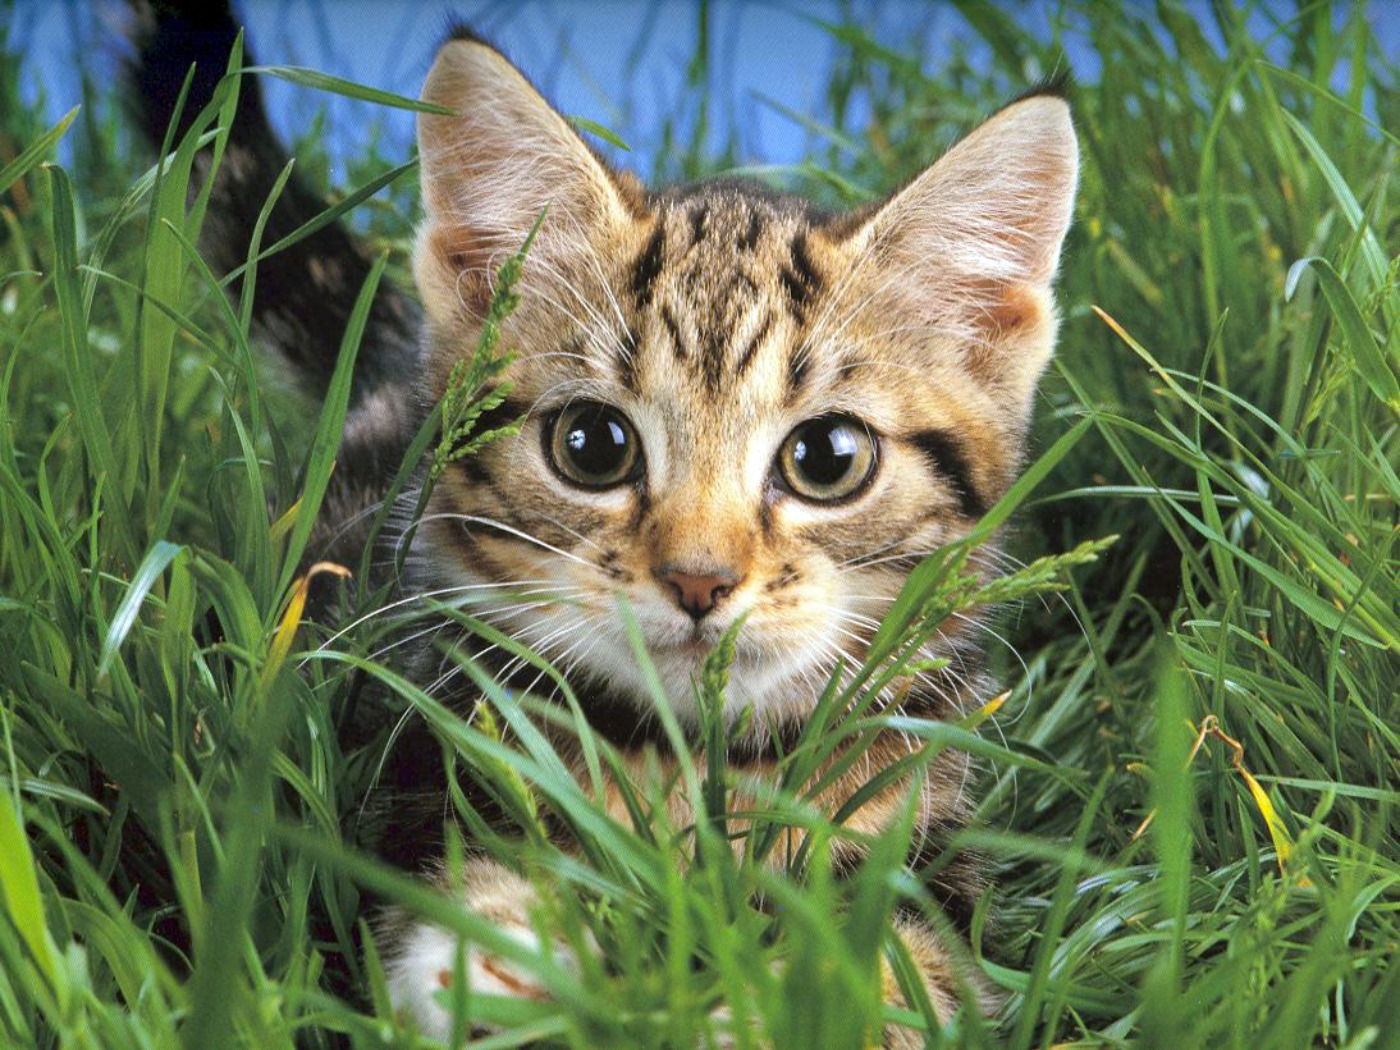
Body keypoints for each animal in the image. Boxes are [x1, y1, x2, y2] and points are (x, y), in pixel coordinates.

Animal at [136, 10, 1075, 1050]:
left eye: (827, 458)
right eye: (592, 445)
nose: (699, 580)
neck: (689, 762)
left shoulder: (930, 867)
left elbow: (893, 968)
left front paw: (753, 1007)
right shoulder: (423, 770)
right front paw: (514, 975)